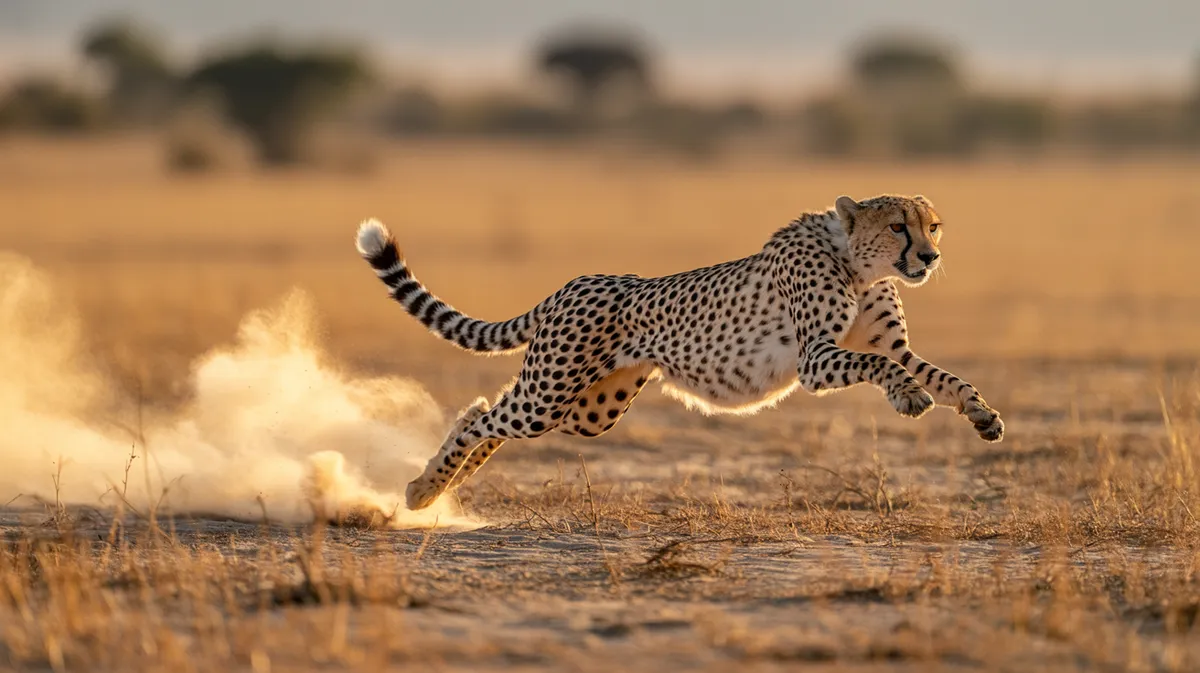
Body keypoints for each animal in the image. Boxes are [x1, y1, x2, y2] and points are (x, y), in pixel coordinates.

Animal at [354, 193, 1004, 511]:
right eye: (898, 227)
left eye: (933, 226)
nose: (930, 257)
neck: (858, 263)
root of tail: (572, 283)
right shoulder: (816, 360)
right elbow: (881, 365)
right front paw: (907, 397)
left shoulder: (890, 342)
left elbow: (940, 373)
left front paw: (981, 414)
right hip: (552, 393)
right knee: (484, 417)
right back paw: (423, 490)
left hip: (589, 409)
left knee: (486, 410)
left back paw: (437, 489)